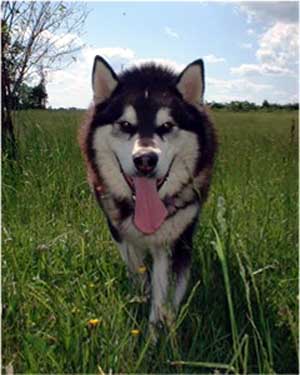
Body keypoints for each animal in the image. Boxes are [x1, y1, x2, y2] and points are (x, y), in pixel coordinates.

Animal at [78, 55, 217, 332]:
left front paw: (157, 333)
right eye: (125, 124)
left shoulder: (175, 239)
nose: (145, 160)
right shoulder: (119, 231)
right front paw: (141, 298)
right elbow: (138, 271)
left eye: (166, 125)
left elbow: (163, 296)